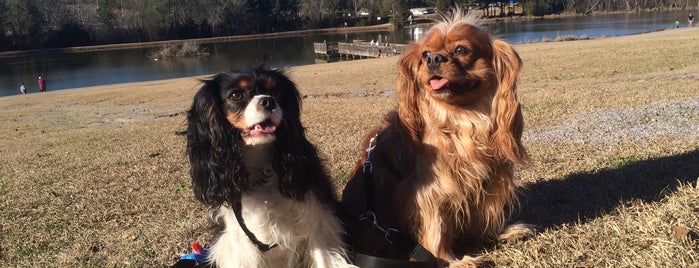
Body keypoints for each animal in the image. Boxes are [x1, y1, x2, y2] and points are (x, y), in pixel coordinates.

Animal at [342, 9, 532, 266]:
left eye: (461, 50)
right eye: (424, 54)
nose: (433, 58)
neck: (462, 118)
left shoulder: (487, 182)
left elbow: (482, 217)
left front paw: (499, 233)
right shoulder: (427, 193)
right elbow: (436, 230)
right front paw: (453, 261)